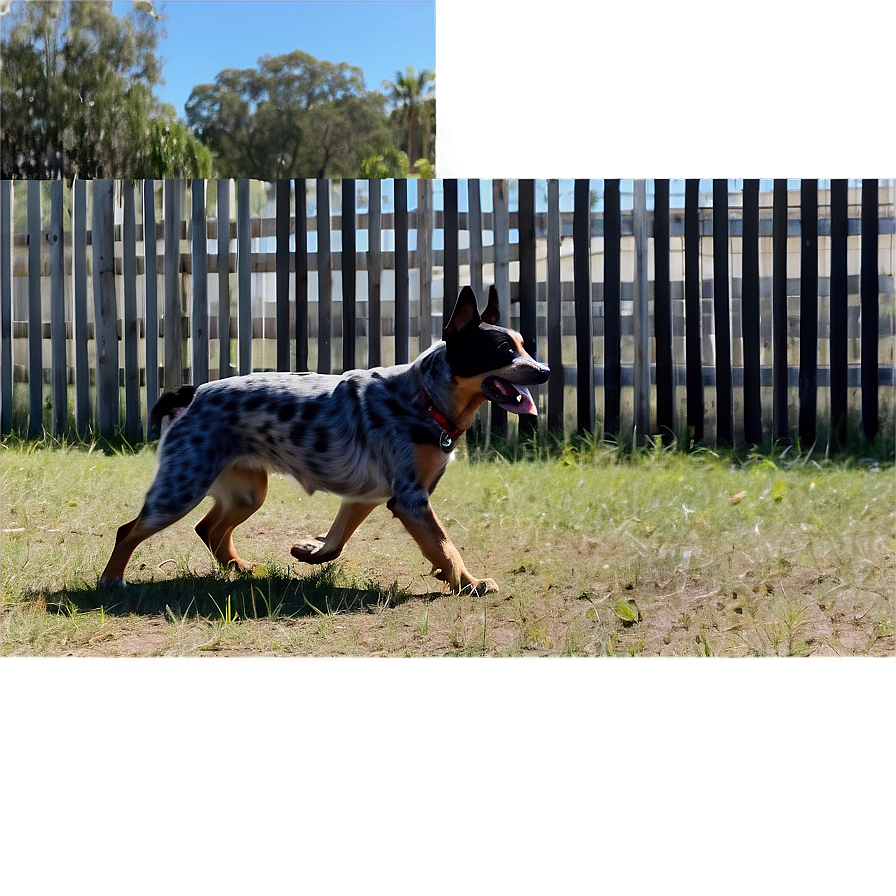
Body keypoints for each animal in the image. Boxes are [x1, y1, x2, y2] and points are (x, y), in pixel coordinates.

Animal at [96, 288, 544, 596]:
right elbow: (445, 546)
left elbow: (337, 542)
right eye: (503, 349)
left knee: (208, 528)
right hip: (180, 489)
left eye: (525, 346)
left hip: (247, 493)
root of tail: (193, 392)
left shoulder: (367, 496)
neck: (424, 398)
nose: (546, 371)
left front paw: (309, 551)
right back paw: (111, 579)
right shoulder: (410, 499)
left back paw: (239, 568)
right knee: (128, 530)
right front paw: (468, 582)